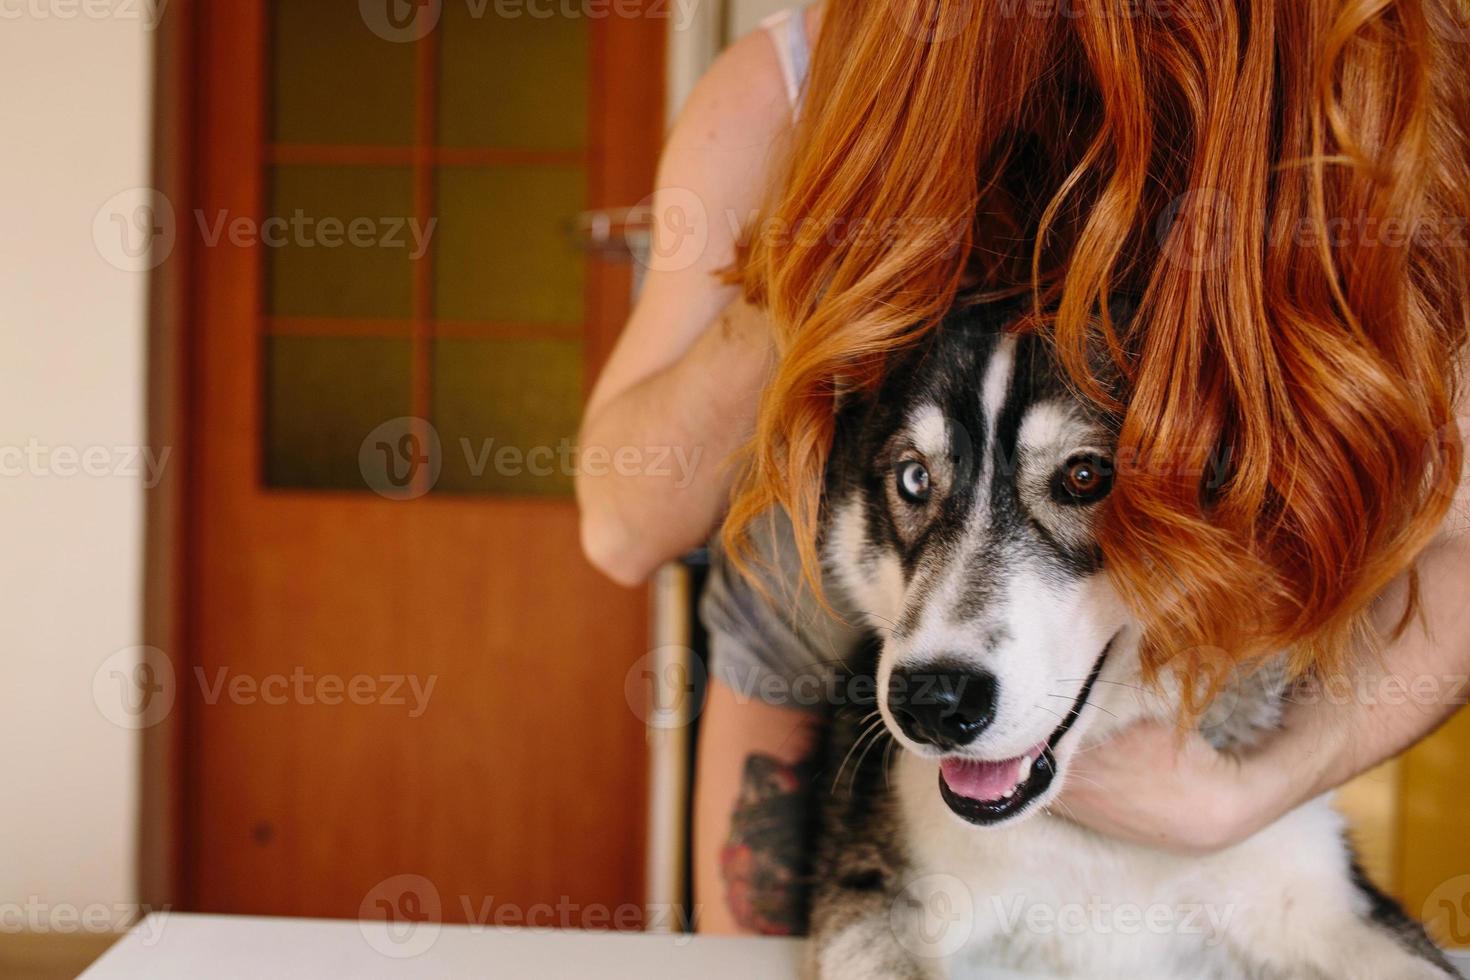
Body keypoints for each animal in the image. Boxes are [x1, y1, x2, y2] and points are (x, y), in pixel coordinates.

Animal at [811, 302, 1452, 975]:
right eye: (913, 478)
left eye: (1086, 475)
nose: (934, 701)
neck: (1099, 857)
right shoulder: (877, 900)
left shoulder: (1325, 899)